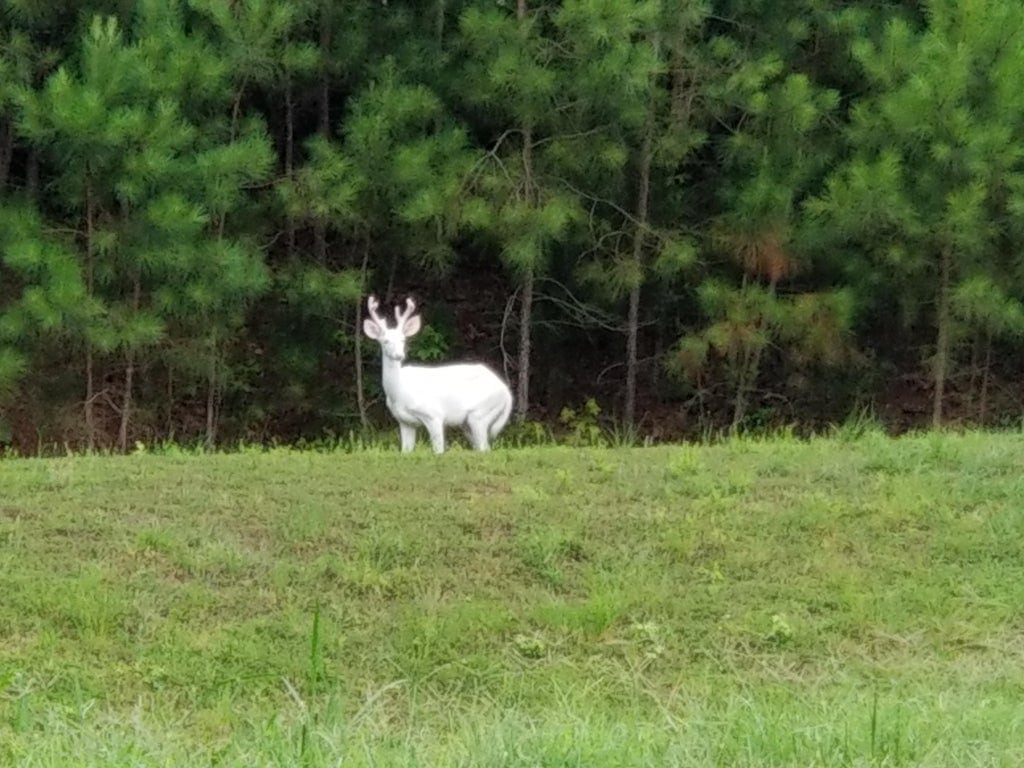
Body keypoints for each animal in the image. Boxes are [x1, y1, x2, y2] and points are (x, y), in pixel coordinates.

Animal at [364, 292, 516, 450]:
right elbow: (406, 450)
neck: (399, 393)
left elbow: (438, 449)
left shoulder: (434, 415)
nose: (399, 355)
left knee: (484, 447)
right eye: (385, 341)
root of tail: (507, 394)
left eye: (403, 340)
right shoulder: (404, 422)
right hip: (468, 423)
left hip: (480, 414)